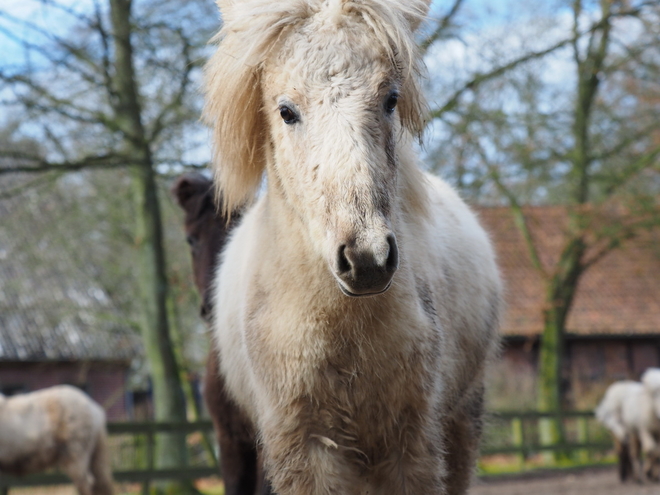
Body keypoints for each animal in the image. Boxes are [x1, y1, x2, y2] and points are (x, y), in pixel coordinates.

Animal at [204, 1, 502, 494]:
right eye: (286, 111)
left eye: (390, 99)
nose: (367, 259)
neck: (343, 332)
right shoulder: (306, 449)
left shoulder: (411, 443)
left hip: (463, 419)